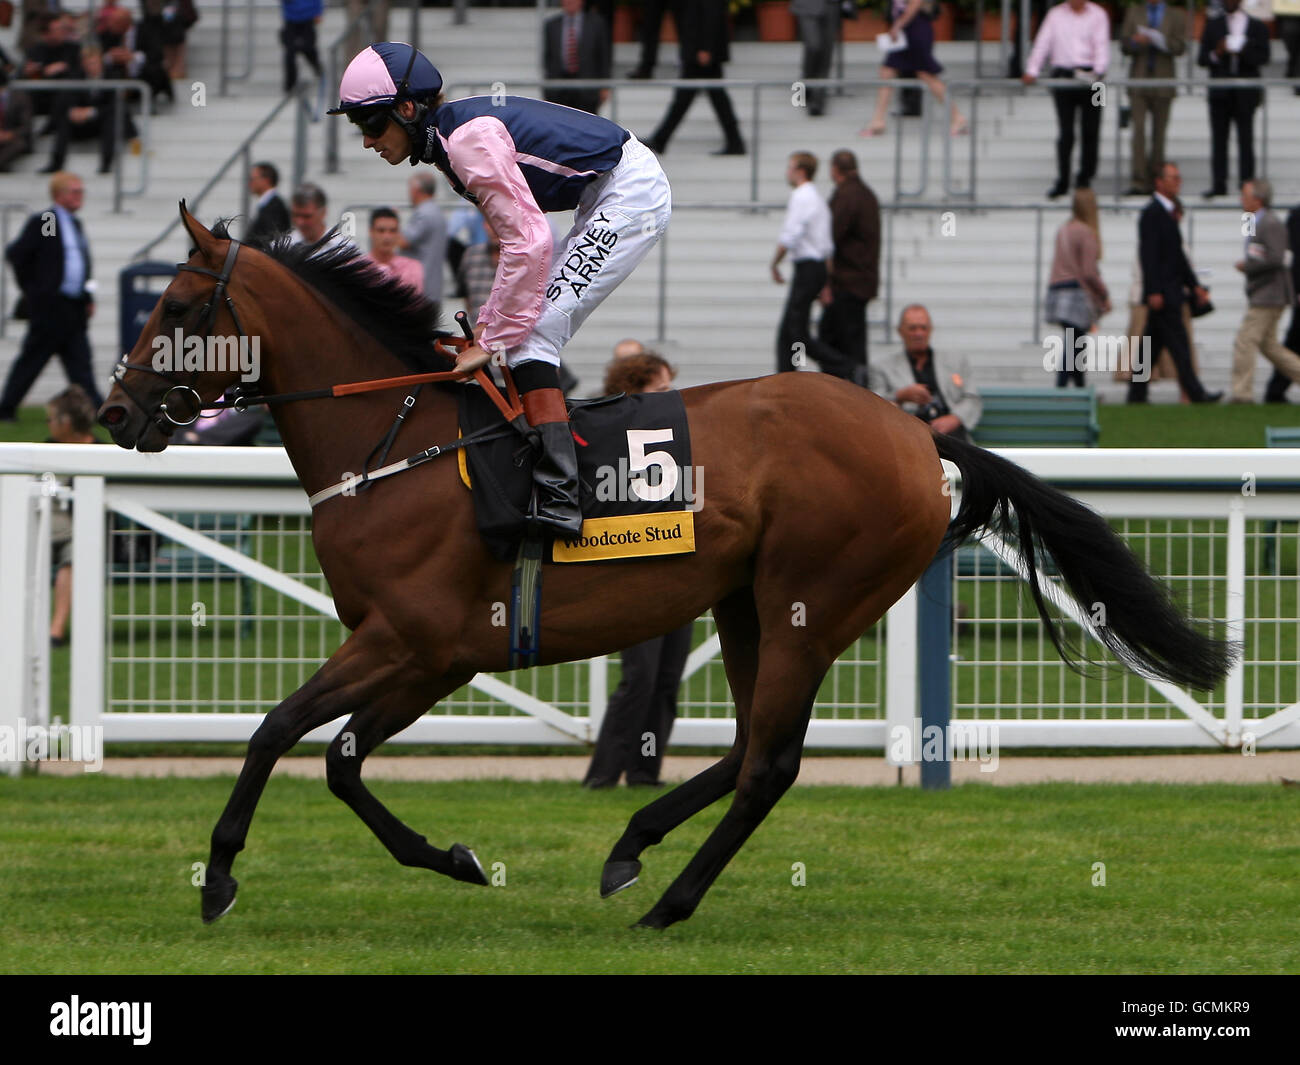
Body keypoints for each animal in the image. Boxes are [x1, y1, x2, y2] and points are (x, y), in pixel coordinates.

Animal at [98, 204, 1227, 931]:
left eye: (180, 310)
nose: (113, 410)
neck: (396, 443)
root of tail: (919, 434)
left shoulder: (417, 643)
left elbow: (280, 732)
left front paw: (218, 877)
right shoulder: (432, 656)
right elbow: (335, 757)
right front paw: (453, 858)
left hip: (810, 601)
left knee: (771, 762)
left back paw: (673, 901)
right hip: (744, 603)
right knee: (750, 747)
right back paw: (630, 846)